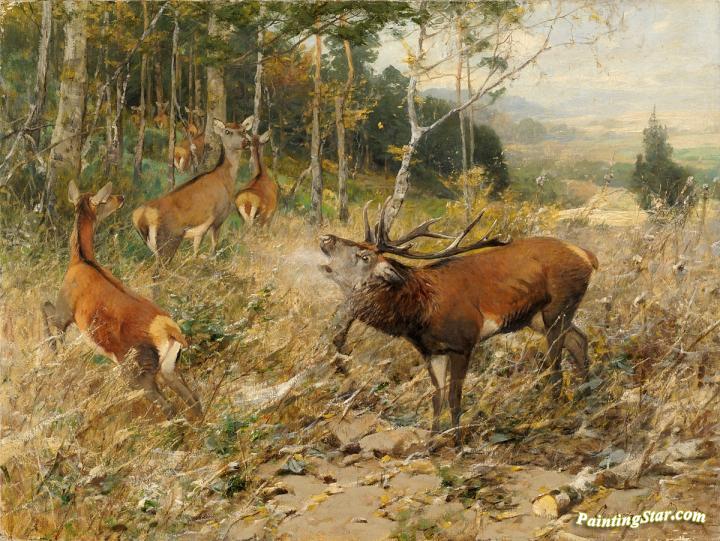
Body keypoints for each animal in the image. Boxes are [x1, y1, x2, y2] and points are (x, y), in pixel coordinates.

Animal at [42, 181, 202, 420]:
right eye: (106, 199)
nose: (121, 197)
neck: (80, 259)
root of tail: (171, 332)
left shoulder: (66, 312)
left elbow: (44, 308)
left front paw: (54, 349)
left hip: (137, 368)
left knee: (167, 405)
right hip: (170, 366)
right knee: (194, 399)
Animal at [132, 116, 253, 263]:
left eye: (244, 130)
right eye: (227, 131)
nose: (246, 141)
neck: (226, 181)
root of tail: (140, 217)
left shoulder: (201, 230)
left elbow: (196, 251)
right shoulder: (218, 218)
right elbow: (213, 247)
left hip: (153, 246)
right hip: (168, 240)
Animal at [319, 199, 598, 446]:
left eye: (364, 256)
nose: (326, 238)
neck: (420, 314)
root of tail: (588, 256)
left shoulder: (463, 343)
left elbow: (454, 397)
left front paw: (457, 442)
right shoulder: (432, 351)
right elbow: (437, 397)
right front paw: (431, 442)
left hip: (558, 308)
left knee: (556, 363)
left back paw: (556, 408)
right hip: (537, 318)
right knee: (579, 340)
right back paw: (585, 398)